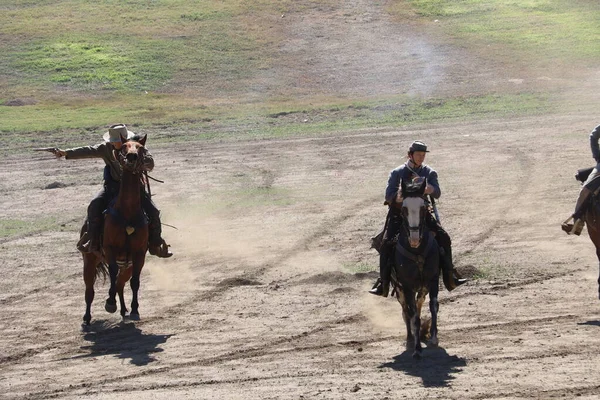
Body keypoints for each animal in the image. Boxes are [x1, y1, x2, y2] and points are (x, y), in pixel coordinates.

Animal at [82, 134, 150, 324]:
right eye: (124, 147)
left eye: (140, 147)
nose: (132, 157)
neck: (127, 212)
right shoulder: (110, 249)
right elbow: (112, 273)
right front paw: (110, 302)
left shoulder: (139, 254)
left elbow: (135, 282)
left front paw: (135, 310)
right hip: (89, 260)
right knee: (89, 290)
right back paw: (87, 317)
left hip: (126, 265)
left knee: (120, 284)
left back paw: (125, 310)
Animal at [390, 179, 440, 360]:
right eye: (404, 209)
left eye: (423, 208)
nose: (414, 238)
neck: (417, 250)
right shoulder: (407, 285)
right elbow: (412, 314)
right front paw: (417, 349)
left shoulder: (433, 280)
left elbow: (433, 306)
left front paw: (433, 337)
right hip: (399, 289)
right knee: (406, 310)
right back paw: (410, 339)